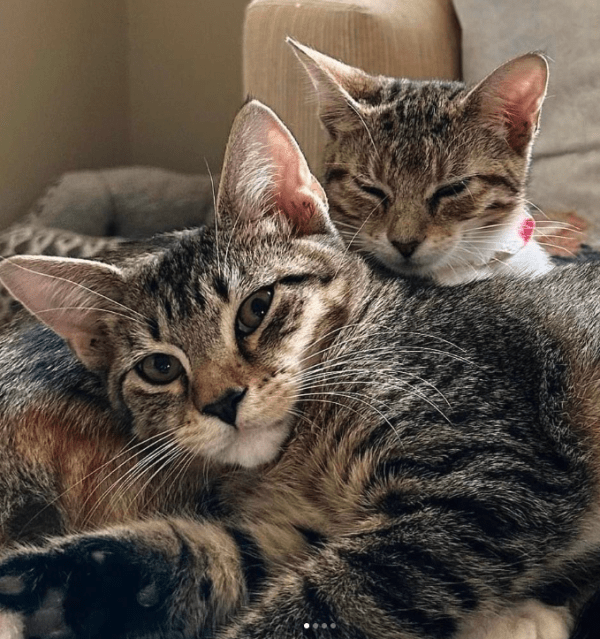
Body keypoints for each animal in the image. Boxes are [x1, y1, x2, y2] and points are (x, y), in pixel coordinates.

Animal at [0, 99, 599, 639]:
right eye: (159, 367)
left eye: (256, 308)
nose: (222, 402)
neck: (295, 463)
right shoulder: (290, 534)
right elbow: (200, 553)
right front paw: (45, 583)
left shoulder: (483, 479)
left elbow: (329, 601)